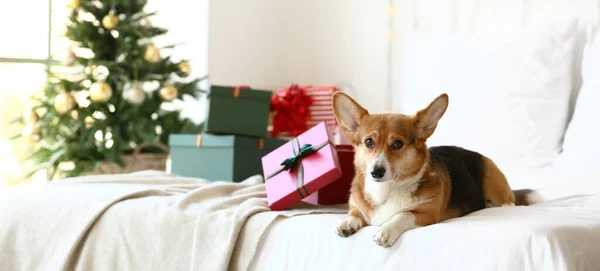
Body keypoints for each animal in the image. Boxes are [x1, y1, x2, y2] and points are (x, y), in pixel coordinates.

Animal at [330, 92, 512, 248]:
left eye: (397, 143)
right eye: (369, 142)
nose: (376, 172)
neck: (385, 190)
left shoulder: (426, 214)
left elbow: (402, 215)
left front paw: (385, 230)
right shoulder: (356, 206)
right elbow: (354, 213)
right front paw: (346, 222)